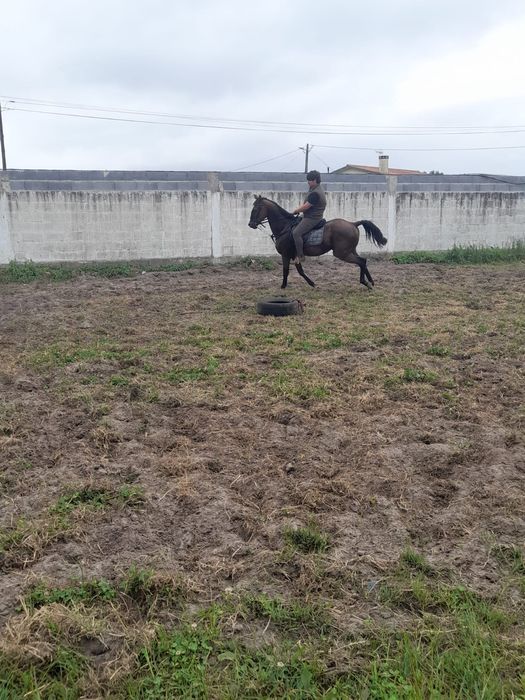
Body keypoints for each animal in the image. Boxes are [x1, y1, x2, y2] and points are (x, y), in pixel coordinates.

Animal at [248, 196, 387, 290]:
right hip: (350, 250)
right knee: (363, 261)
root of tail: (353, 223)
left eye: (255, 209)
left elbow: (286, 270)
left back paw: (365, 282)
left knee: (361, 261)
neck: (285, 227)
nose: (250, 224)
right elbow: (300, 271)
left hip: (342, 253)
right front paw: (312, 283)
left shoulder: (286, 255)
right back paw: (371, 282)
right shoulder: (295, 255)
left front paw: (283, 286)